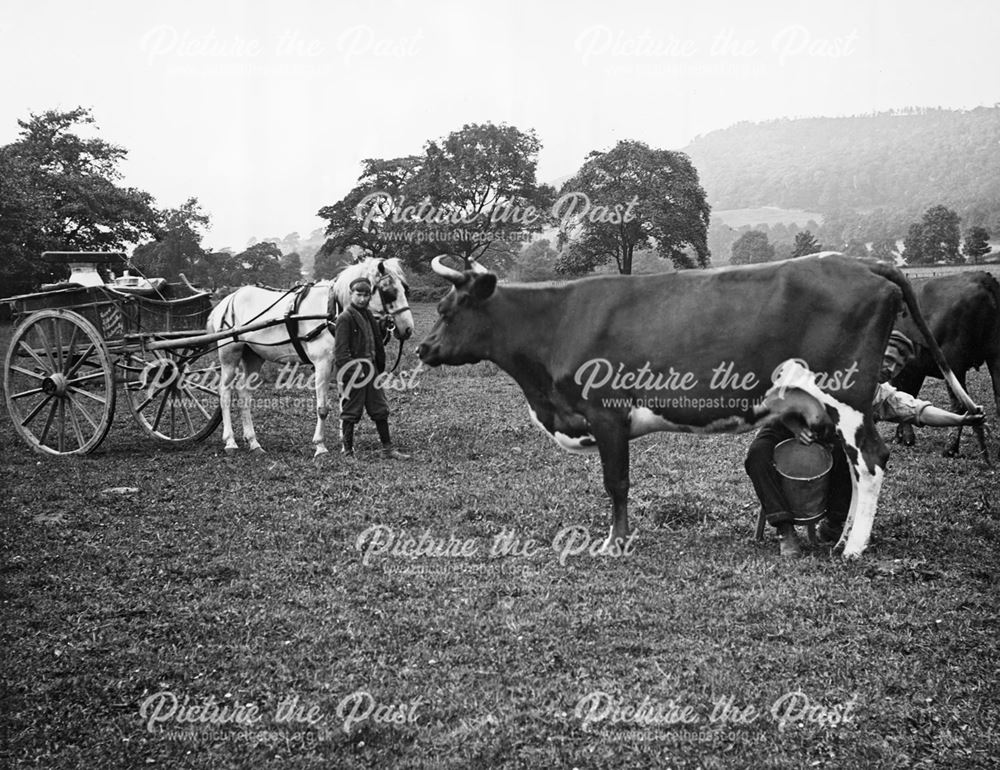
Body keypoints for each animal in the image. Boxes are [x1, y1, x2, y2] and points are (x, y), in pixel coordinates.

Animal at [207, 258, 414, 452]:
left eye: (406, 289)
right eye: (389, 291)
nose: (408, 329)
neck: (333, 309)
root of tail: (227, 300)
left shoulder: (343, 365)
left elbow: (344, 404)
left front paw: (345, 444)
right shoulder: (322, 364)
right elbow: (322, 408)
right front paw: (320, 446)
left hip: (254, 356)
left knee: (244, 394)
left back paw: (253, 441)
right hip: (230, 355)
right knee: (225, 393)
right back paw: (230, 441)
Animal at [418, 252, 980, 560]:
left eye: (447, 310)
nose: (422, 349)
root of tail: (859, 261)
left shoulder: (607, 413)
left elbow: (616, 484)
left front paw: (615, 542)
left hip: (846, 394)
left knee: (871, 461)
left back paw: (854, 548)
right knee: (854, 464)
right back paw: (837, 539)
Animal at [892, 270, 1000, 460]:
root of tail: (981, 277)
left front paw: (906, 438)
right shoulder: (914, 370)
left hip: (953, 363)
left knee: (959, 405)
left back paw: (950, 448)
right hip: (995, 355)